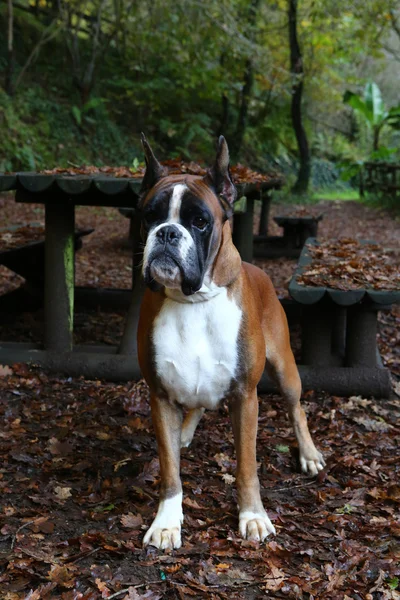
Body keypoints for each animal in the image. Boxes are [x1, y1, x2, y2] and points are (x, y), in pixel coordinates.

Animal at [138, 135, 324, 548]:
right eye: (150, 216)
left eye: (200, 221)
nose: (167, 232)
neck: (193, 300)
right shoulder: (160, 396)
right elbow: (170, 469)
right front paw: (167, 522)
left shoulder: (245, 396)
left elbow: (247, 465)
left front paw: (253, 516)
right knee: (197, 406)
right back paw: (185, 431)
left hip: (285, 369)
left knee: (297, 409)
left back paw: (308, 454)